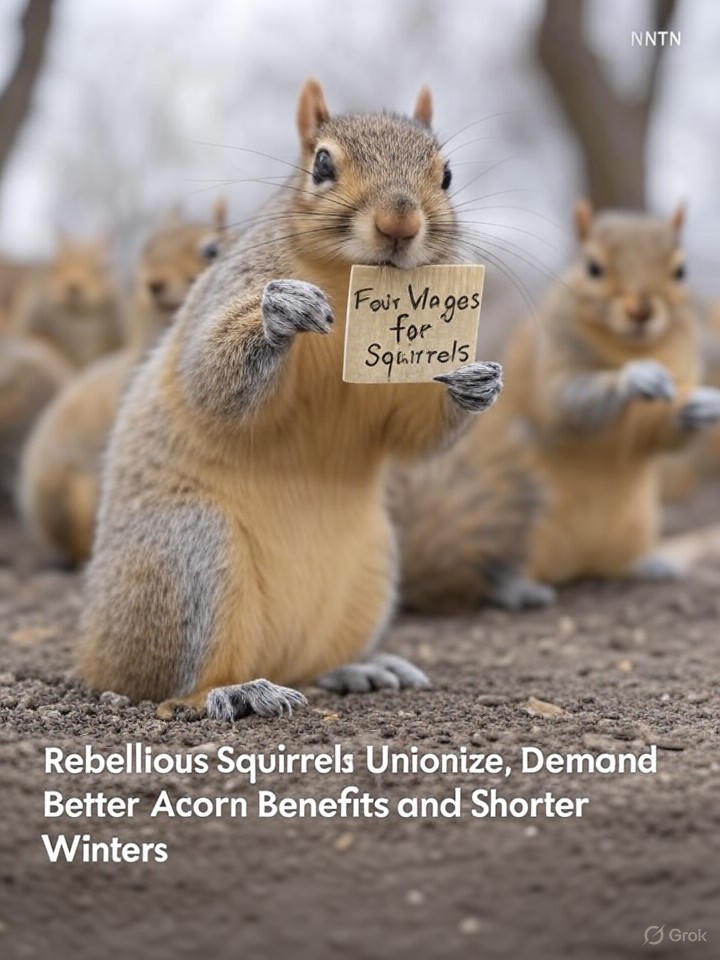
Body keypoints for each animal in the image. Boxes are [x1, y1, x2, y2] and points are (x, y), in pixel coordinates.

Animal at [77, 78, 503, 720]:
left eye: (447, 174)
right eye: (321, 164)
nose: (399, 221)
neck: (346, 281)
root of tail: (93, 652)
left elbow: (409, 431)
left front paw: (476, 380)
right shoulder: (228, 290)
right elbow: (207, 374)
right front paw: (280, 310)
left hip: (371, 573)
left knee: (304, 662)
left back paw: (357, 668)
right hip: (190, 555)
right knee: (171, 689)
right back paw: (235, 690)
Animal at [500, 201, 720, 583]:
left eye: (680, 271)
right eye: (592, 268)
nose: (640, 311)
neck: (628, 347)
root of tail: (578, 566)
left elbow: (660, 434)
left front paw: (702, 405)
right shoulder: (553, 358)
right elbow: (564, 406)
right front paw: (633, 379)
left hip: (636, 526)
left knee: (616, 563)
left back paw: (648, 565)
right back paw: (514, 585)